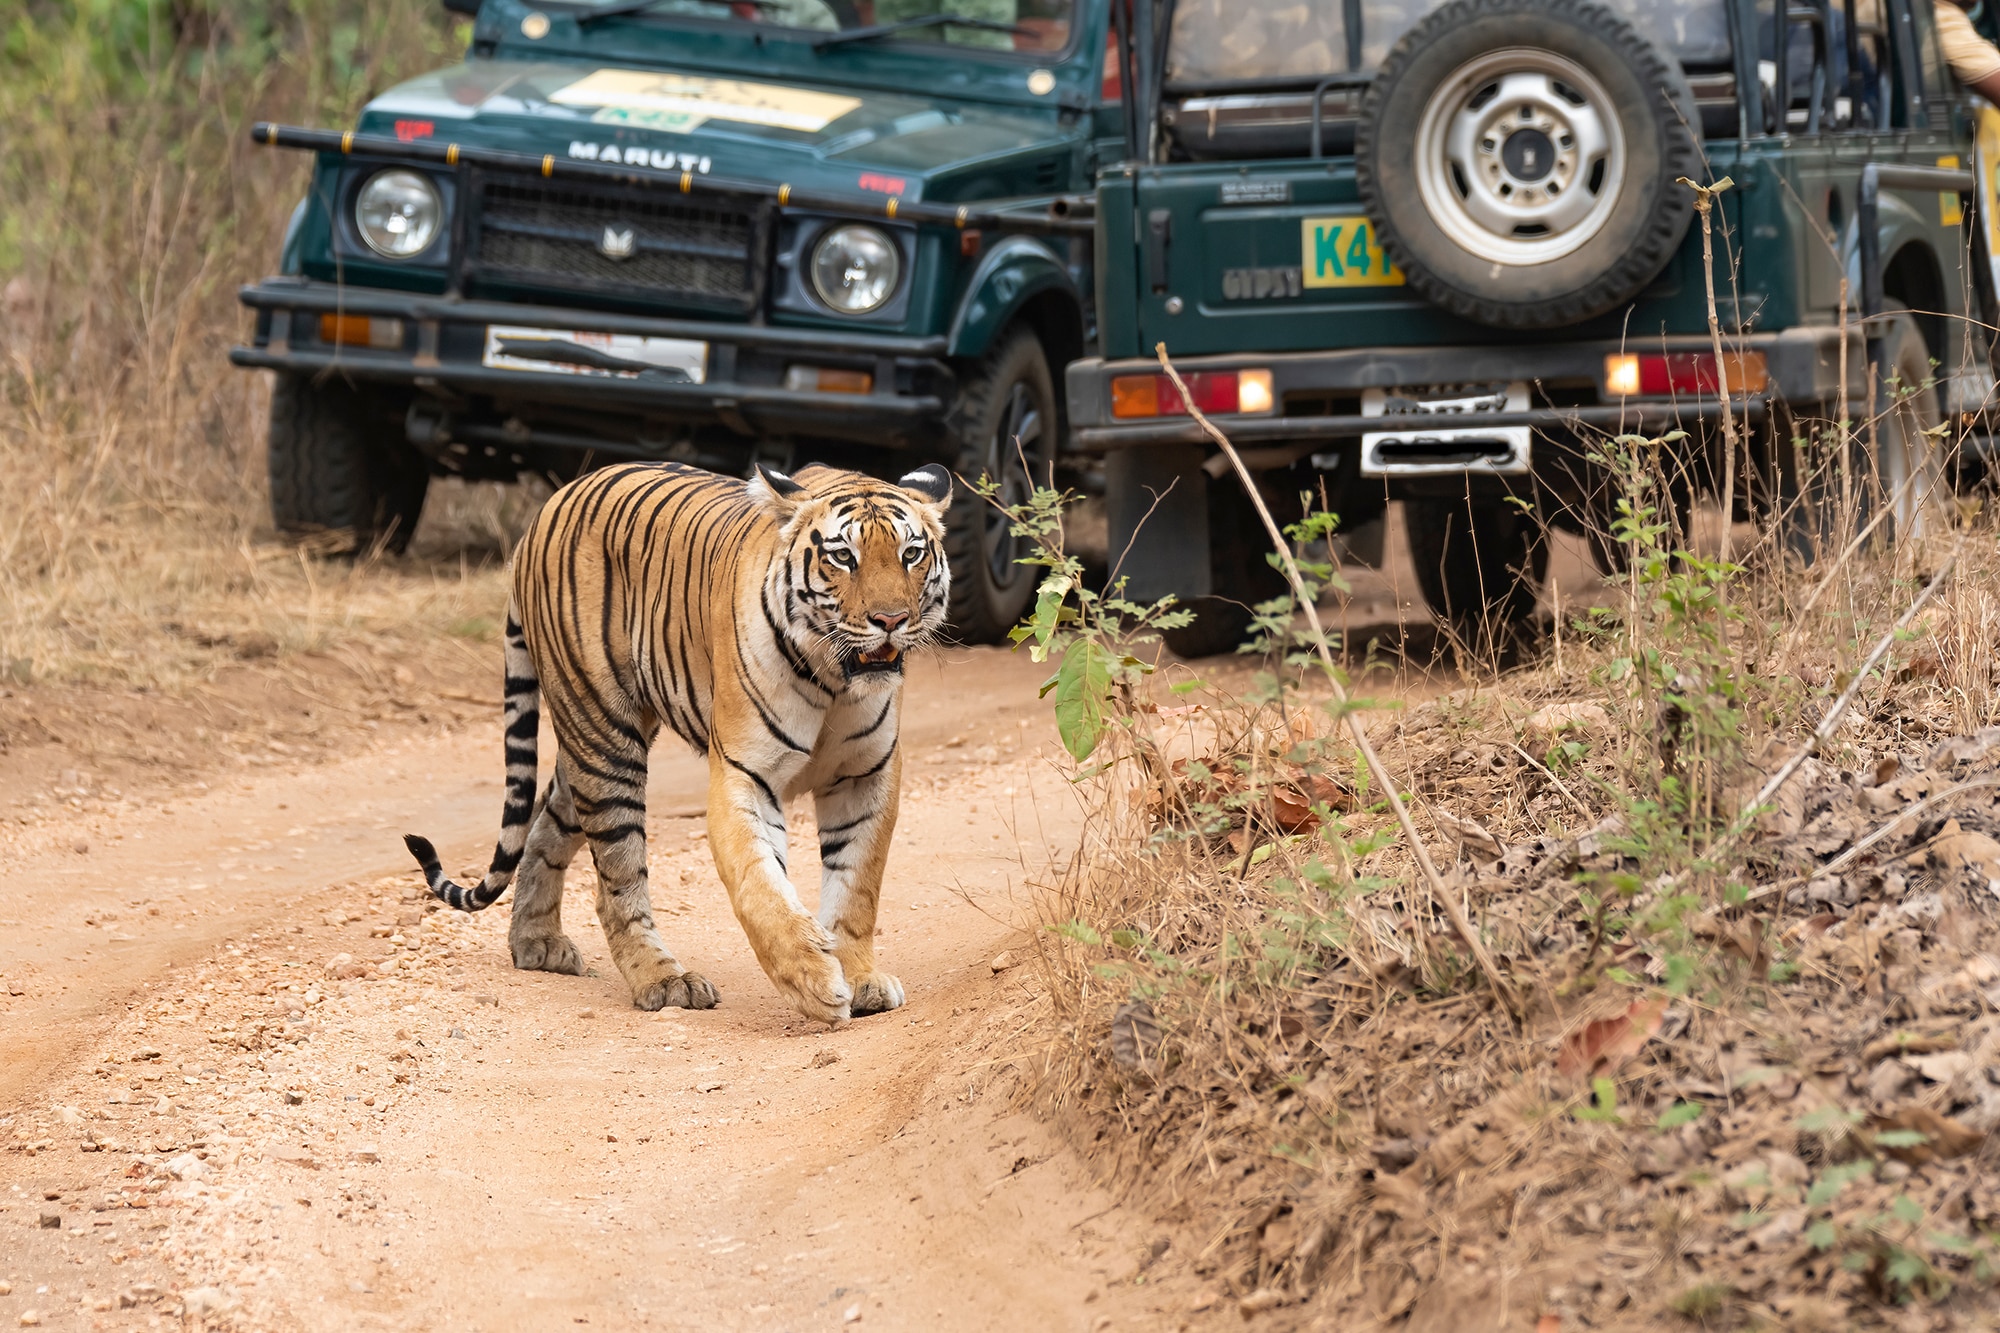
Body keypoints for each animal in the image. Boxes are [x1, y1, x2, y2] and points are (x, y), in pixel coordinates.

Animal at [402, 459, 953, 1024]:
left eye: (911, 554)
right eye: (843, 557)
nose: (891, 621)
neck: (834, 681)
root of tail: (545, 511)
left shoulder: (866, 775)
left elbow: (857, 886)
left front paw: (860, 977)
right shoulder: (744, 775)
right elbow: (761, 886)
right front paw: (813, 980)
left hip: (586, 745)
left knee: (544, 826)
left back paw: (537, 942)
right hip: (604, 739)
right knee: (615, 882)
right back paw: (664, 980)